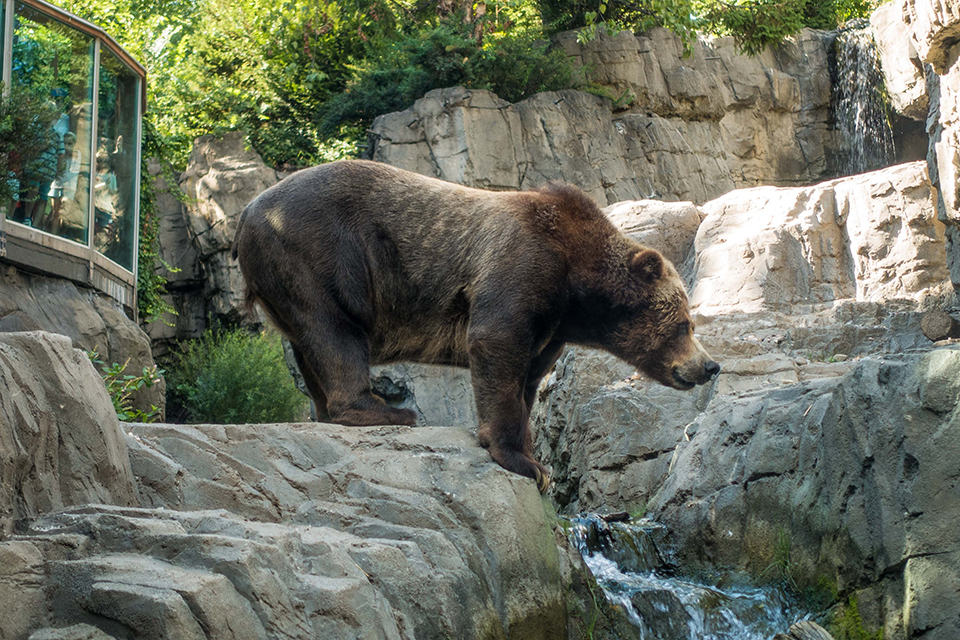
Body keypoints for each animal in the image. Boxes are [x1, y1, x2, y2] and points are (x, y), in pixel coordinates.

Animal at [232, 160, 719, 492]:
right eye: (685, 324)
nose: (709, 366)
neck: (576, 289)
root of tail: (246, 212)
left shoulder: (551, 326)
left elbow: (527, 380)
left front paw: (535, 459)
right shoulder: (521, 265)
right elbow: (496, 346)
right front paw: (522, 461)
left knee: (307, 343)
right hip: (318, 252)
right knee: (336, 331)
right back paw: (384, 410)